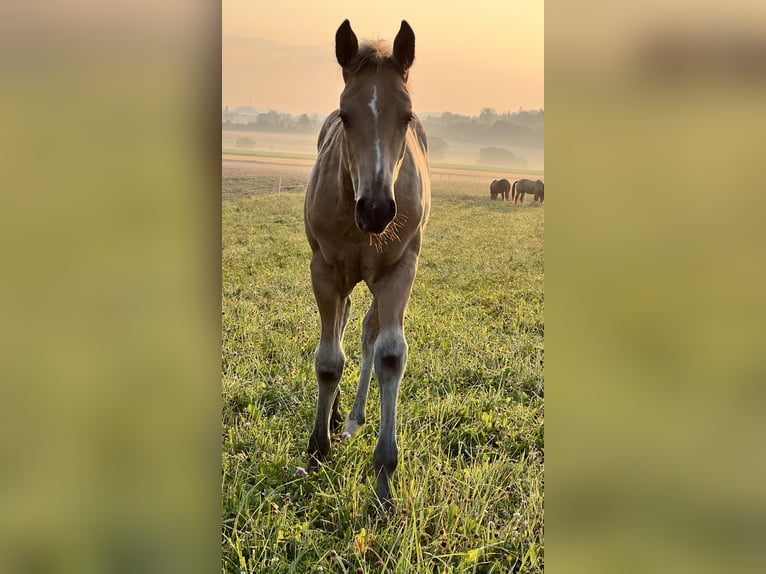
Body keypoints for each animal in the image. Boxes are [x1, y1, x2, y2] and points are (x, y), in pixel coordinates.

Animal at [304, 19, 432, 512]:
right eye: (346, 116)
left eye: (407, 116)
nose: (376, 209)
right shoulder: (324, 270)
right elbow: (327, 359)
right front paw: (316, 448)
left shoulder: (399, 272)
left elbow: (390, 355)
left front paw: (383, 479)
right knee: (341, 328)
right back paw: (337, 413)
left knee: (367, 334)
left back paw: (355, 416)